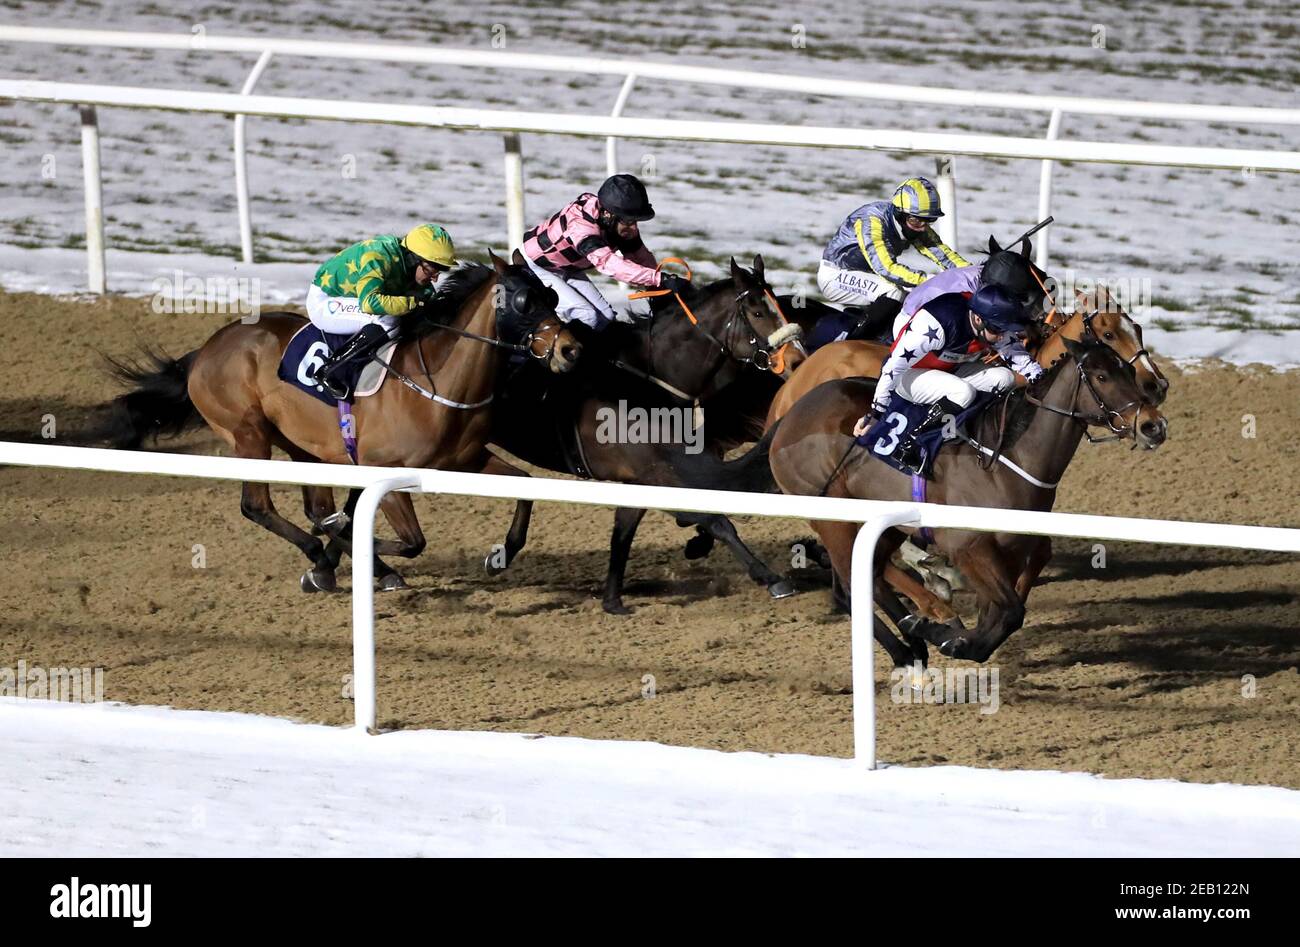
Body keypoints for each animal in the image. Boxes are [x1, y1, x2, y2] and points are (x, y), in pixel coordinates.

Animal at [98, 251, 587, 593]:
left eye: (552, 297)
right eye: (523, 302)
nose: (571, 350)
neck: (439, 378)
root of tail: (208, 347)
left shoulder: (466, 460)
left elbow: (524, 487)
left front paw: (500, 553)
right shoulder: (384, 469)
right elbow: (410, 540)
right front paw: (349, 547)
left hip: (303, 444)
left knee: (312, 506)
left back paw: (333, 559)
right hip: (248, 434)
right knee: (256, 506)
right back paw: (324, 553)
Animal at [769, 335, 1170, 671]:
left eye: (1128, 370)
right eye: (1101, 376)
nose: (1153, 426)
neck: (1006, 458)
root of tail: (789, 415)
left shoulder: (1012, 549)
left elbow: (1000, 614)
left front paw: (949, 634)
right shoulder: (967, 547)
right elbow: (1010, 612)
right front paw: (946, 636)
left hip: (883, 524)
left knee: (870, 578)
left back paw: (915, 639)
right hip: (834, 521)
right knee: (852, 587)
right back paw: (906, 650)